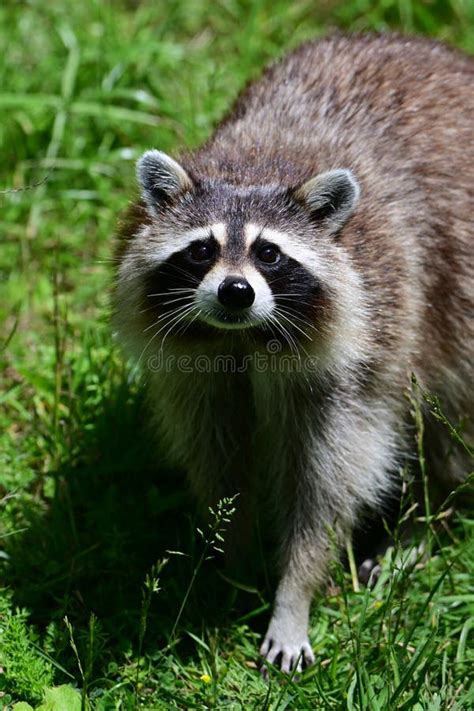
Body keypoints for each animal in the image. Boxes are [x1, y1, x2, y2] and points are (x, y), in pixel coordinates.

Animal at [114, 34, 474, 672]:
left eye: (269, 253)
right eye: (201, 250)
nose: (236, 292)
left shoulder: (359, 359)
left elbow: (326, 488)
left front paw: (294, 592)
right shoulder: (195, 371)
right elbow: (220, 464)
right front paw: (232, 562)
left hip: (456, 307)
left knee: (449, 425)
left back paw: (429, 519)